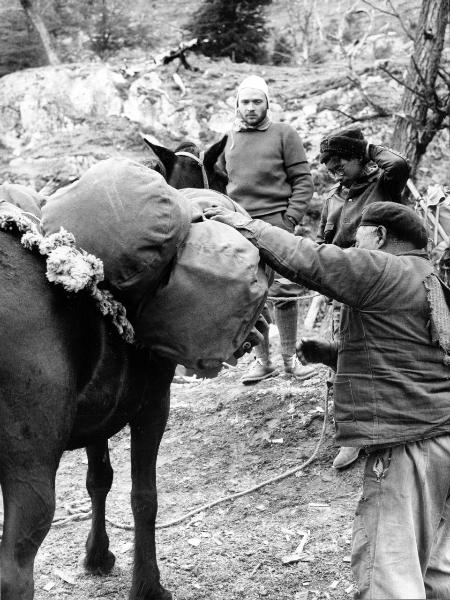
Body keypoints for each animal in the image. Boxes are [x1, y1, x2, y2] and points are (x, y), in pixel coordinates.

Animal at [0, 137, 241, 600]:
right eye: (221, 176)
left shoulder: (99, 412)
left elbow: (99, 478)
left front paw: (98, 555)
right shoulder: (153, 405)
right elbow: (144, 496)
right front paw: (148, 584)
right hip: (30, 470)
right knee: (14, 573)